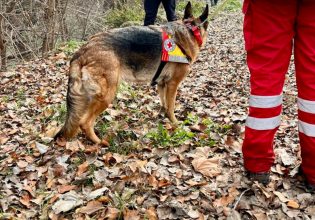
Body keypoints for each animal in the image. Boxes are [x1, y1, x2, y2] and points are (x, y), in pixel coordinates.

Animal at [56, 3, 210, 146]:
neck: (189, 29)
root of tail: (83, 50)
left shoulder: (162, 84)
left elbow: (164, 104)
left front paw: (162, 115)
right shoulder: (173, 84)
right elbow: (171, 107)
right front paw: (175, 123)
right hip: (106, 96)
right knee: (85, 123)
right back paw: (100, 142)